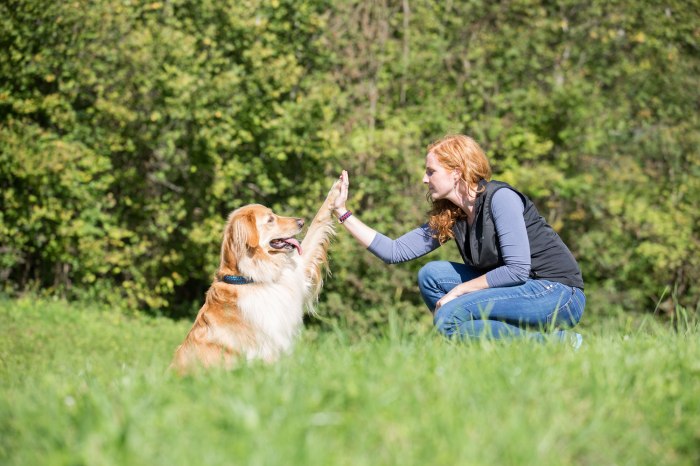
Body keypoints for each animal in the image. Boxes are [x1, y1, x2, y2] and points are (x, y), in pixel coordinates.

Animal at [172, 180, 342, 374]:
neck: (250, 277)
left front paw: (337, 191)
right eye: (270, 219)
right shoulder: (266, 344)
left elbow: (318, 222)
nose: (301, 221)